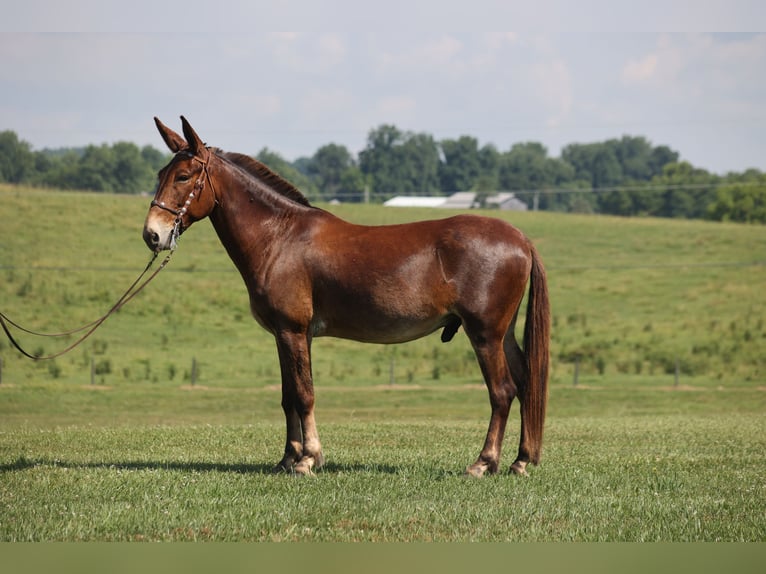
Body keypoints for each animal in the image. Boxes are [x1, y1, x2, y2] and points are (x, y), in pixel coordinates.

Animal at [143, 116, 550, 477]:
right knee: (525, 383)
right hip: (503, 334)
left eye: (183, 177)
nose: (152, 235)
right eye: (160, 174)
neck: (280, 237)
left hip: (484, 335)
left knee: (502, 392)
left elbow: (304, 394)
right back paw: (520, 461)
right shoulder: (287, 335)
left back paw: (483, 463)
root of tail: (521, 239)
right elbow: (288, 397)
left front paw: (308, 459)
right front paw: (287, 459)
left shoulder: (293, 330)